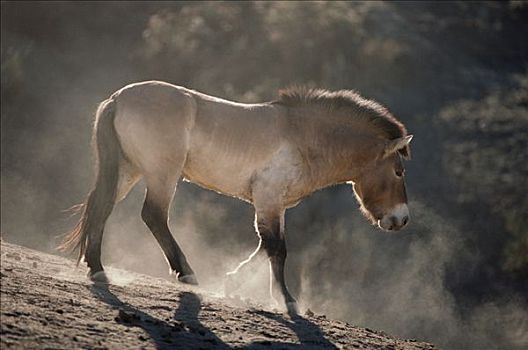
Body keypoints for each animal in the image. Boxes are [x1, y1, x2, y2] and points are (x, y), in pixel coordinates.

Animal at [58, 81, 412, 314]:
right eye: (398, 171)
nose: (401, 219)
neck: (303, 135)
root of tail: (118, 98)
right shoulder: (268, 199)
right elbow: (277, 248)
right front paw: (287, 301)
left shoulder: (274, 205)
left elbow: (266, 246)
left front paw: (235, 283)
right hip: (162, 176)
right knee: (153, 216)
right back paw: (186, 274)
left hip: (127, 171)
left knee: (102, 208)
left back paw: (97, 269)